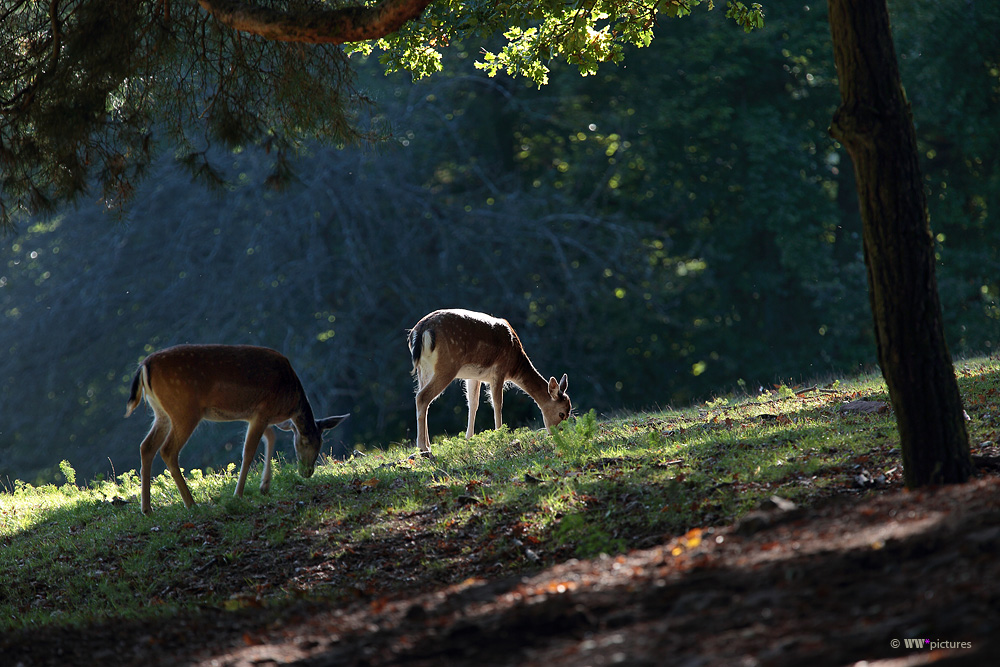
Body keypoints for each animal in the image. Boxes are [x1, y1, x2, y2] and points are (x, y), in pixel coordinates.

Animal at [125, 348, 348, 516]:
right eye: (306, 441)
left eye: (321, 443)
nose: (307, 472)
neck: (290, 399)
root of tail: (144, 366)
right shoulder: (263, 410)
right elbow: (248, 451)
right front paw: (238, 495)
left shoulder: (257, 415)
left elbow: (271, 437)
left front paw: (264, 486)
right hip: (184, 410)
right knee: (167, 450)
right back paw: (192, 504)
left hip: (161, 413)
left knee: (146, 446)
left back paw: (147, 509)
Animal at [408, 308, 572, 454]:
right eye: (562, 413)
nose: (559, 436)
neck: (515, 365)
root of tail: (420, 330)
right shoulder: (499, 371)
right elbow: (497, 404)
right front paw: (500, 435)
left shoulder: (474, 376)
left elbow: (473, 404)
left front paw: (469, 439)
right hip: (447, 365)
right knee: (422, 397)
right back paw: (423, 447)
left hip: (424, 369)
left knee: (422, 398)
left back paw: (426, 445)